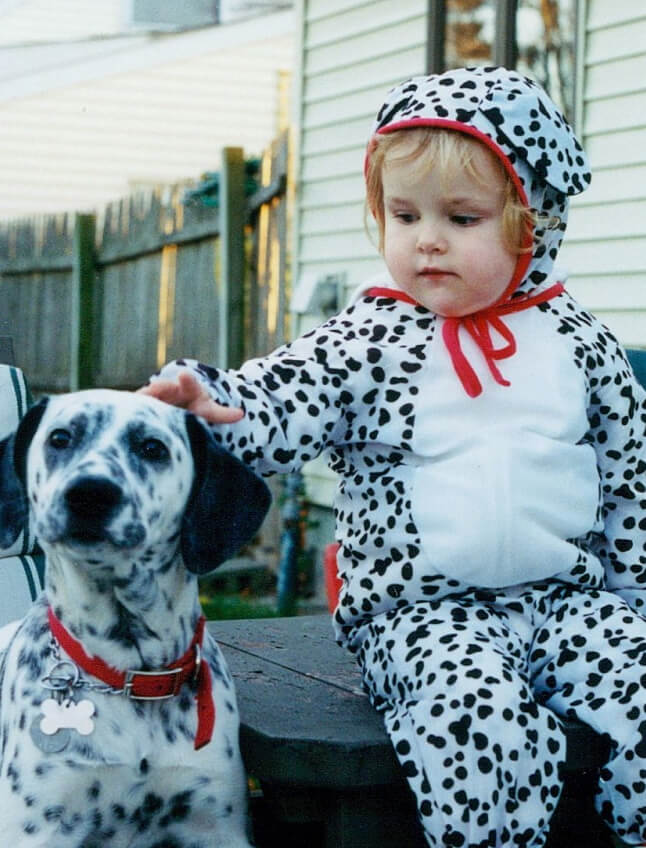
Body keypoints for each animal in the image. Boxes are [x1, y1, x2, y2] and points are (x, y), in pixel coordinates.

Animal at [0, 390, 270, 848]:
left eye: (152, 447)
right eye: (60, 438)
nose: (90, 493)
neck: (133, 675)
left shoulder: (217, 827)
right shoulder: (38, 831)